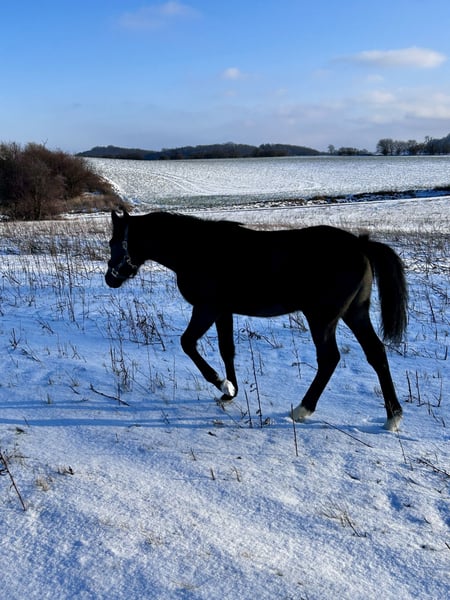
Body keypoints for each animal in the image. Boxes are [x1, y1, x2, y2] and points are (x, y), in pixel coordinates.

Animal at [105, 209, 408, 431]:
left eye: (114, 242)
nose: (110, 279)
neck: (198, 249)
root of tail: (360, 244)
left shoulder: (206, 309)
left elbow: (188, 343)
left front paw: (221, 383)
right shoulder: (223, 311)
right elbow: (227, 350)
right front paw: (230, 391)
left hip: (323, 318)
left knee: (329, 359)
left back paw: (302, 410)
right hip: (355, 313)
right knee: (376, 353)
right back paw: (392, 417)